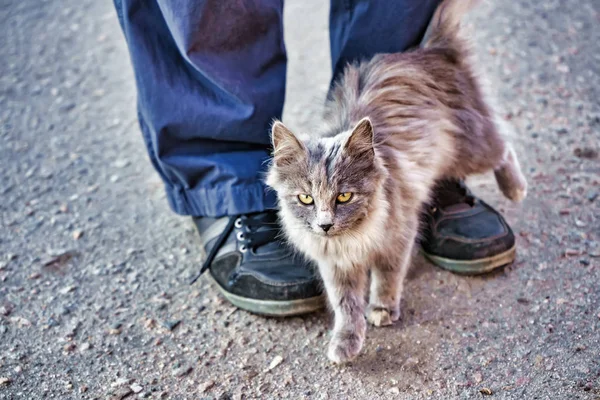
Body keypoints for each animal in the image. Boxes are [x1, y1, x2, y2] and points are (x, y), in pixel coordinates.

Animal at [266, 0, 524, 364]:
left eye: (344, 197)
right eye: (306, 199)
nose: (325, 225)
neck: (352, 239)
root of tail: (429, 50)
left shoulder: (398, 236)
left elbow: (387, 277)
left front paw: (383, 309)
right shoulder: (336, 266)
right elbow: (345, 305)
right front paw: (346, 341)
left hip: (470, 146)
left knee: (503, 145)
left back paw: (515, 188)